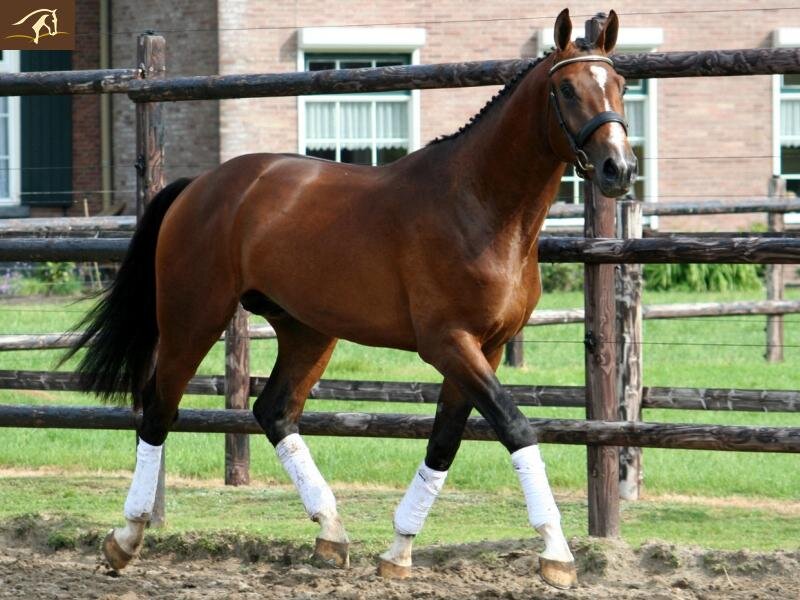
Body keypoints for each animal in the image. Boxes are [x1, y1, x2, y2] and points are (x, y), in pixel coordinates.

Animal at [63, 8, 635, 590]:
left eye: (619, 84)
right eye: (566, 88)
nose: (619, 169)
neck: (480, 206)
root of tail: (201, 184)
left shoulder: (487, 348)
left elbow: (444, 443)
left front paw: (398, 551)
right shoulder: (449, 344)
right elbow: (515, 426)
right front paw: (557, 554)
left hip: (308, 331)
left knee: (273, 412)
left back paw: (331, 533)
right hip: (193, 318)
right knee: (159, 409)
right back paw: (126, 538)